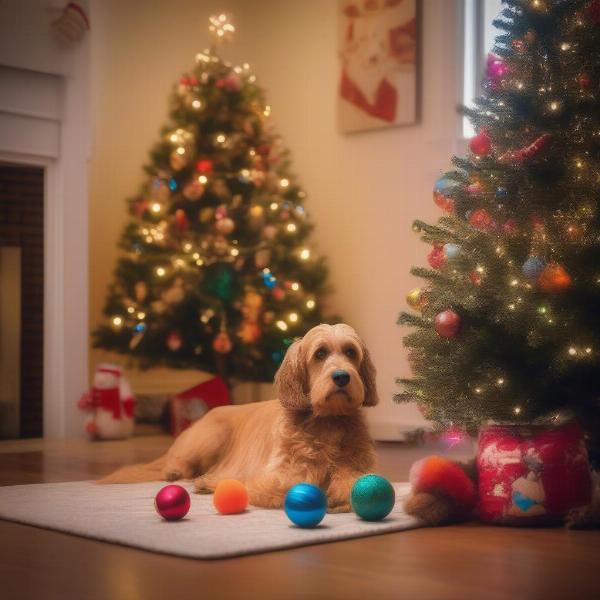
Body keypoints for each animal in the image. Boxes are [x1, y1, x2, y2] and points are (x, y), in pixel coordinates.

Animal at [100, 324, 378, 510]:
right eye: (320, 353)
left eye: (350, 352)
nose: (342, 377)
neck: (327, 420)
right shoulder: (275, 477)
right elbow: (297, 483)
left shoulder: (358, 466)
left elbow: (353, 480)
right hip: (211, 436)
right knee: (180, 465)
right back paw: (185, 475)